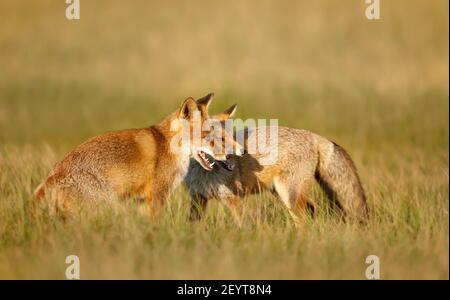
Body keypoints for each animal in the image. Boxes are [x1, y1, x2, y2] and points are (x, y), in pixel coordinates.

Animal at [33, 93, 243, 211]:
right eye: (208, 135)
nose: (236, 154)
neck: (168, 144)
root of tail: (44, 187)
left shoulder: (142, 201)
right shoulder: (156, 196)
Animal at [185, 105, 368, 225]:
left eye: (227, 137)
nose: (236, 153)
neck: (202, 172)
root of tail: (312, 135)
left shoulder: (234, 198)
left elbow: (240, 225)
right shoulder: (198, 198)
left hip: (289, 195)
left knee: (304, 220)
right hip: (280, 193)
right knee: (312, 209)